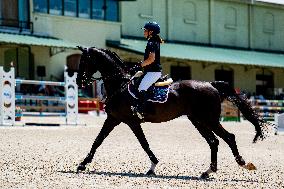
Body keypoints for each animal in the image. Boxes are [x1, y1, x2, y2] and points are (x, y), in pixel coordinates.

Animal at [74, 45, 272, 179]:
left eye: (83, 61)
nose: (78, 82)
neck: (120, 85)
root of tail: (211, 85)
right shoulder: (113, 119)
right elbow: (98, 141)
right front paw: (82, 164)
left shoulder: (131, 121)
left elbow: (143, 144)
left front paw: (153, 166)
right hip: (198, 120)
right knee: (214, 141)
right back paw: (208, 171)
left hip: (209, 119)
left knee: (228, 137)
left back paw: (243, 164)